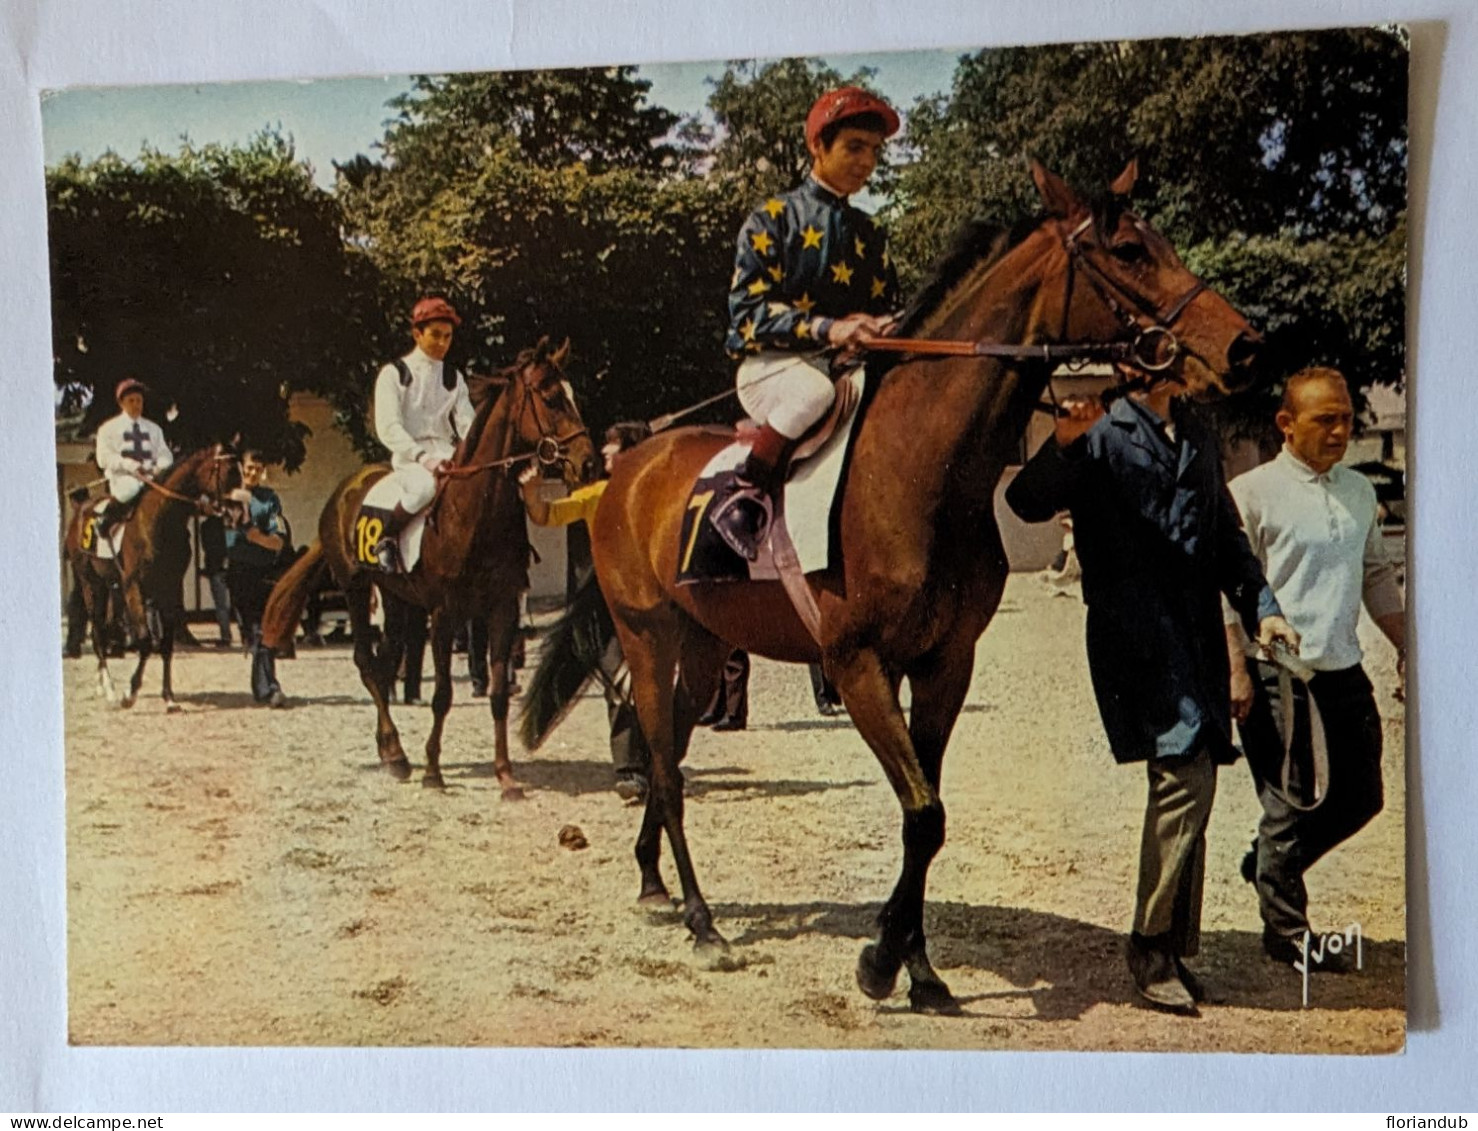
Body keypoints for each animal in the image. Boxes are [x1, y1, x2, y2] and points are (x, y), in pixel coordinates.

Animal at [64, 446, 242, 709]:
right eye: (229, 471)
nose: (239, 512)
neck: (159, 521)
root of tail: (82, 508)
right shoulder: (133, 586)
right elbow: (146, 640)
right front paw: (129, 693)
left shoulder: (170, 588)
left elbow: (166, 645)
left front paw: (168, 697)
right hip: (90, 583)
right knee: (96, 631)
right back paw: (109, 688)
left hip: (108, 585)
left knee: (103, 630)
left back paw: (100, 684)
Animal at [263, 340, 597, 798]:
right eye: (551, 398)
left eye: (573, 395)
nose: (588, 463)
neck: (477, 512)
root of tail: (344, 492)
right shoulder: (444, 613)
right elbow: (442, 694)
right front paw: (434, 772)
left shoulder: (502, 608)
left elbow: (498, 695)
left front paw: (506, 776)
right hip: (356, 589)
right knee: (366, 662)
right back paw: (397, 753)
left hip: (396, 598)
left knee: (385, 663)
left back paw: (392, 752)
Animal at [585, 161, 1259, 1017]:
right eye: (1130, 249)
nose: (1243, 345)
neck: (920, 470)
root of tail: (629, 464)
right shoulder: (857, 666)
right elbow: (924, 810)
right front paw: (881, 961)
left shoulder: (944, 663)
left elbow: (925, 816)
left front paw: (916, 965)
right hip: (646, 634)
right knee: (667, 766)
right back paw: (703, 922)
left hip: (705, 643)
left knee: (669, 741)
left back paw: (653, 878)